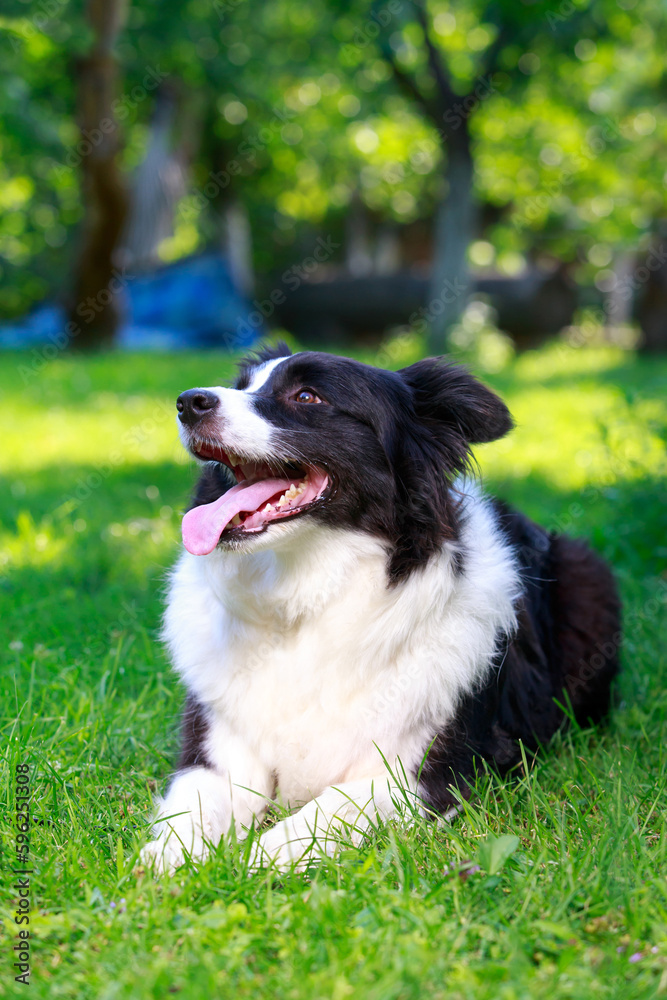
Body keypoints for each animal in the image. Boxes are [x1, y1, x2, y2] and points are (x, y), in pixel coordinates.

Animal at [141, 346, 620, 876]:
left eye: (307, 396)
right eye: (243, 385)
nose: (189, 402)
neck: (303, 598)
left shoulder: (423, 775)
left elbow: (327, 807)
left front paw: (257, 860)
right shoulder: (217, 747)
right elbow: (194, 804)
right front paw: (165, 861)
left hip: (587, 578)